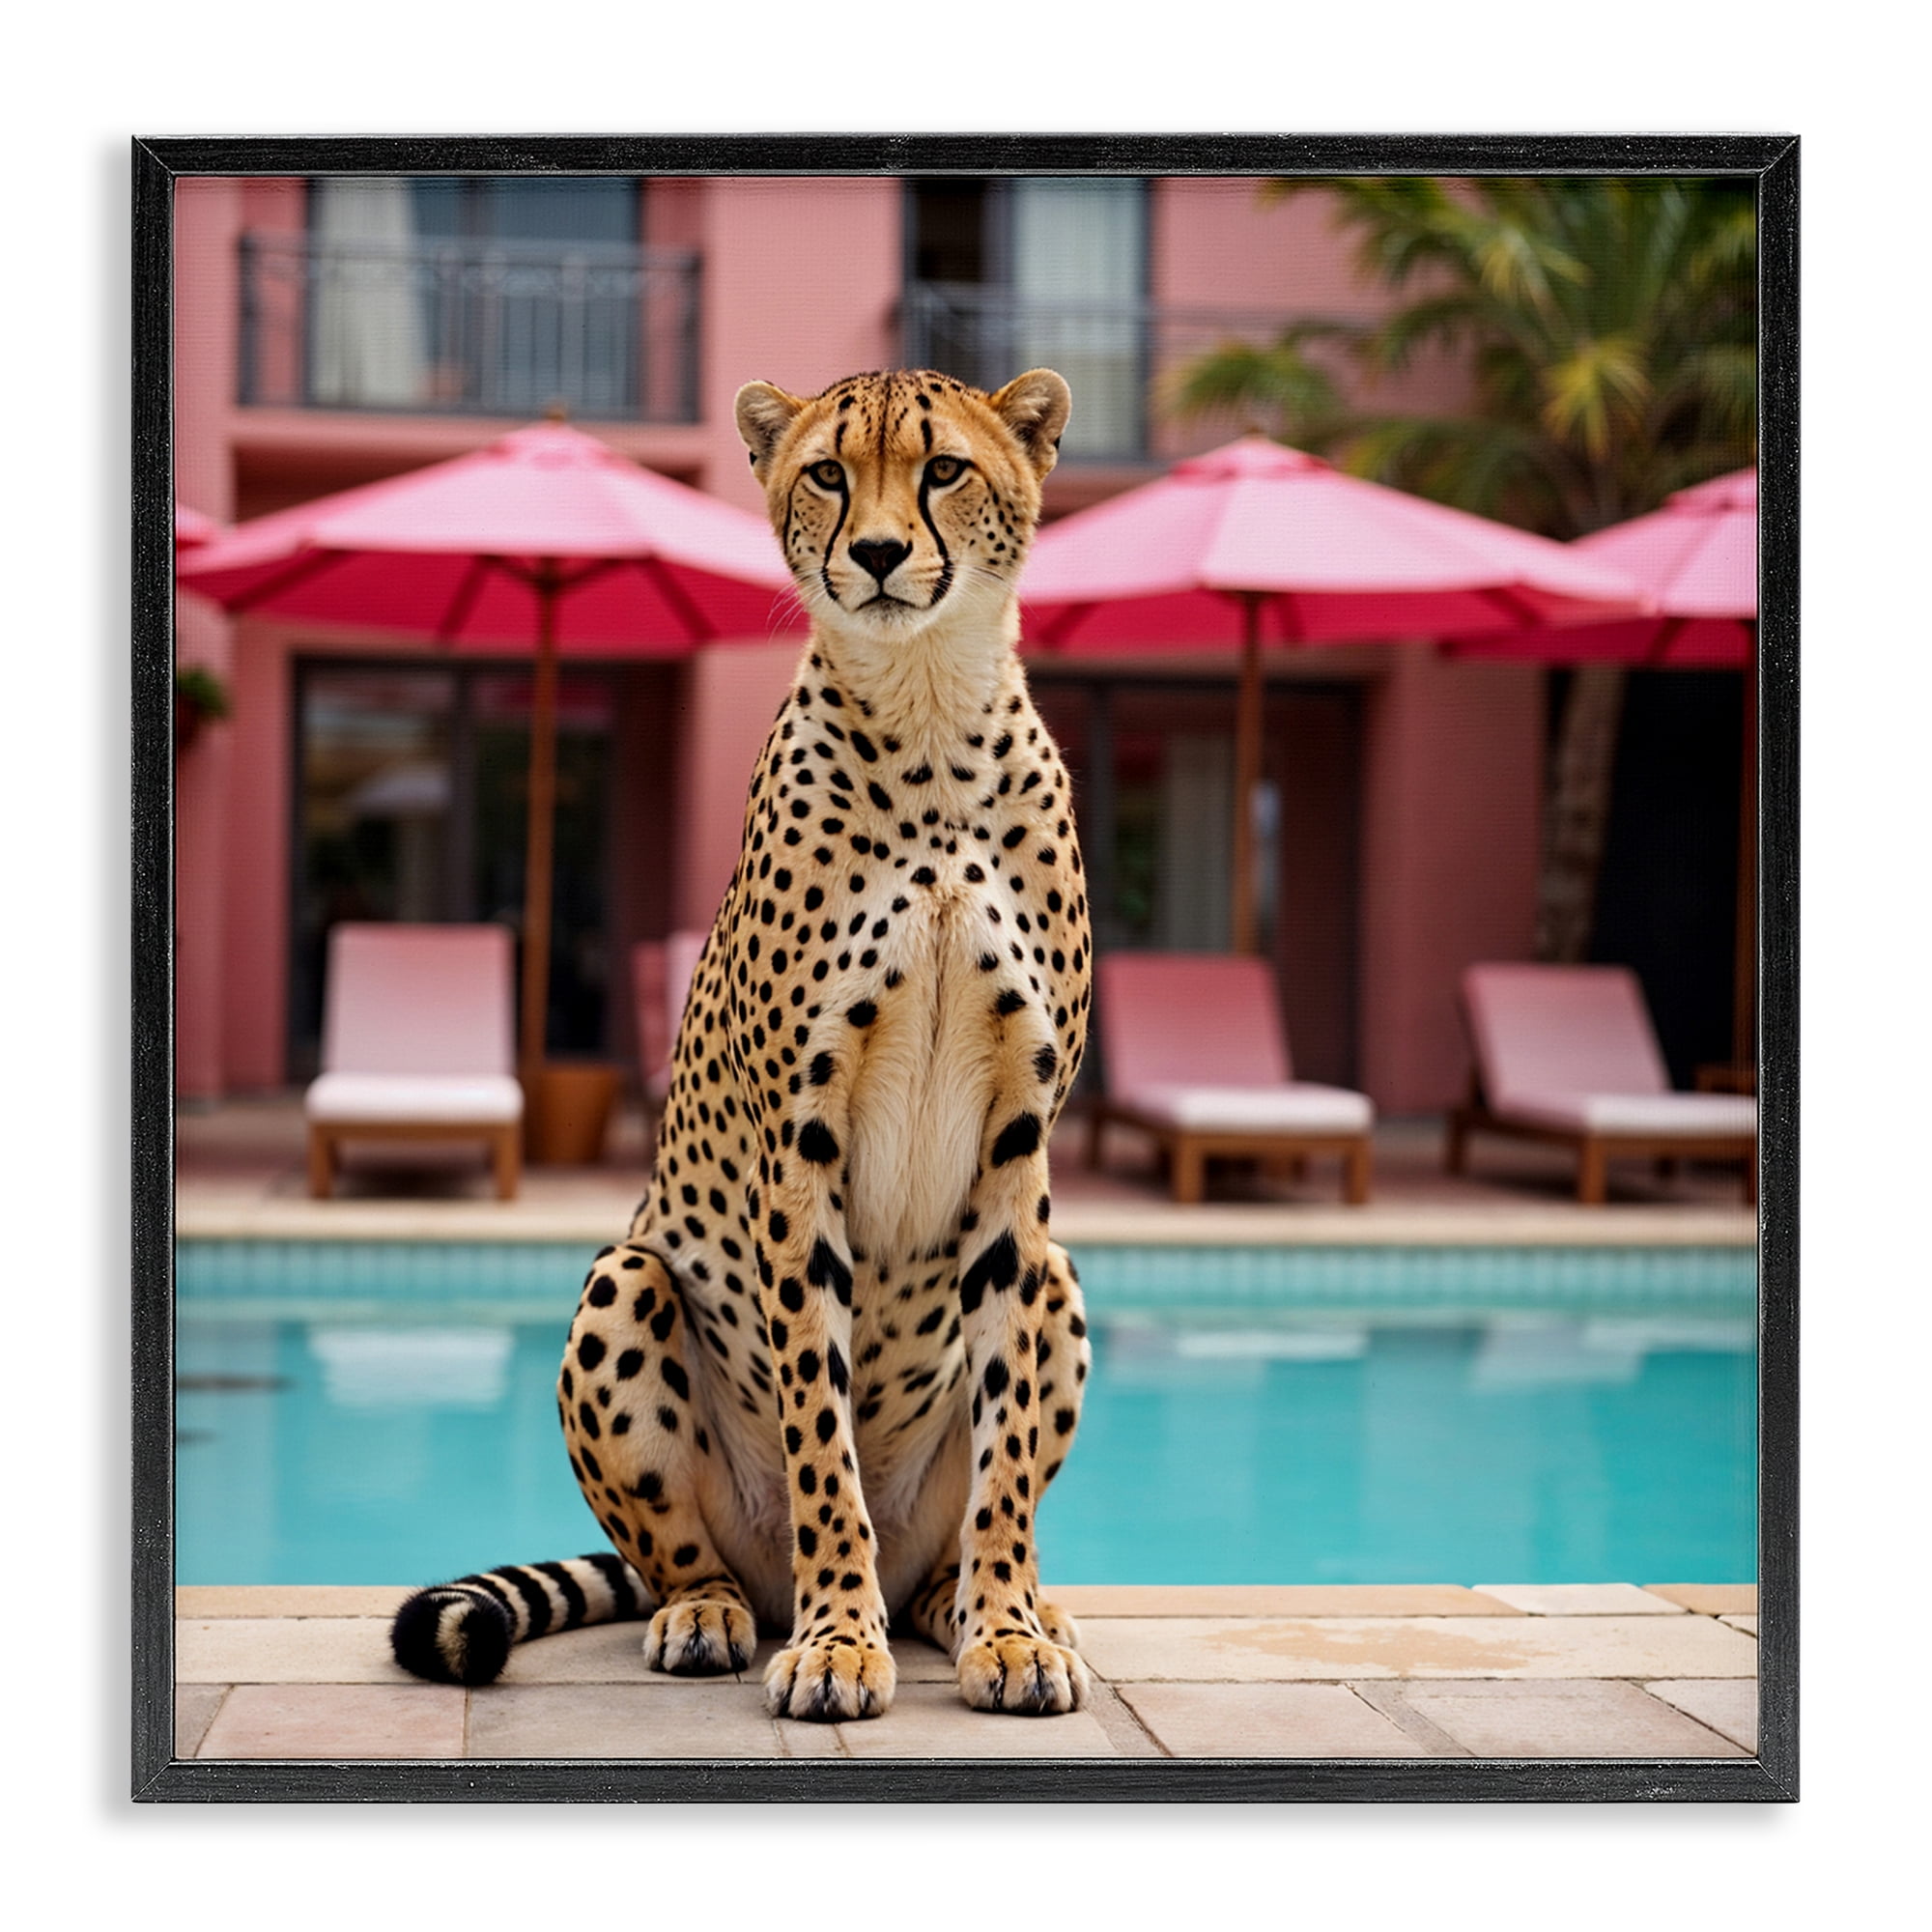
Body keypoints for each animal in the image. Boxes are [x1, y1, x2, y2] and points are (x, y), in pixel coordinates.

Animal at [391, 367, 1096, 1721]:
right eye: (826, 473)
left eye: (941, 470)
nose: (874, 553)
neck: (930, 712)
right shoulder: (798, 1145)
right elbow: (821, 1433)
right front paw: (834, 1639)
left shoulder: (1019, 1151)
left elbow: (1005, 1450)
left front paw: (1006, 1626)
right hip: (626, 1277)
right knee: (681, 1551)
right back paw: (717, 1611)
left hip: (1065, 1281)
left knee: (974, 1503)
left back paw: (985, 1603)